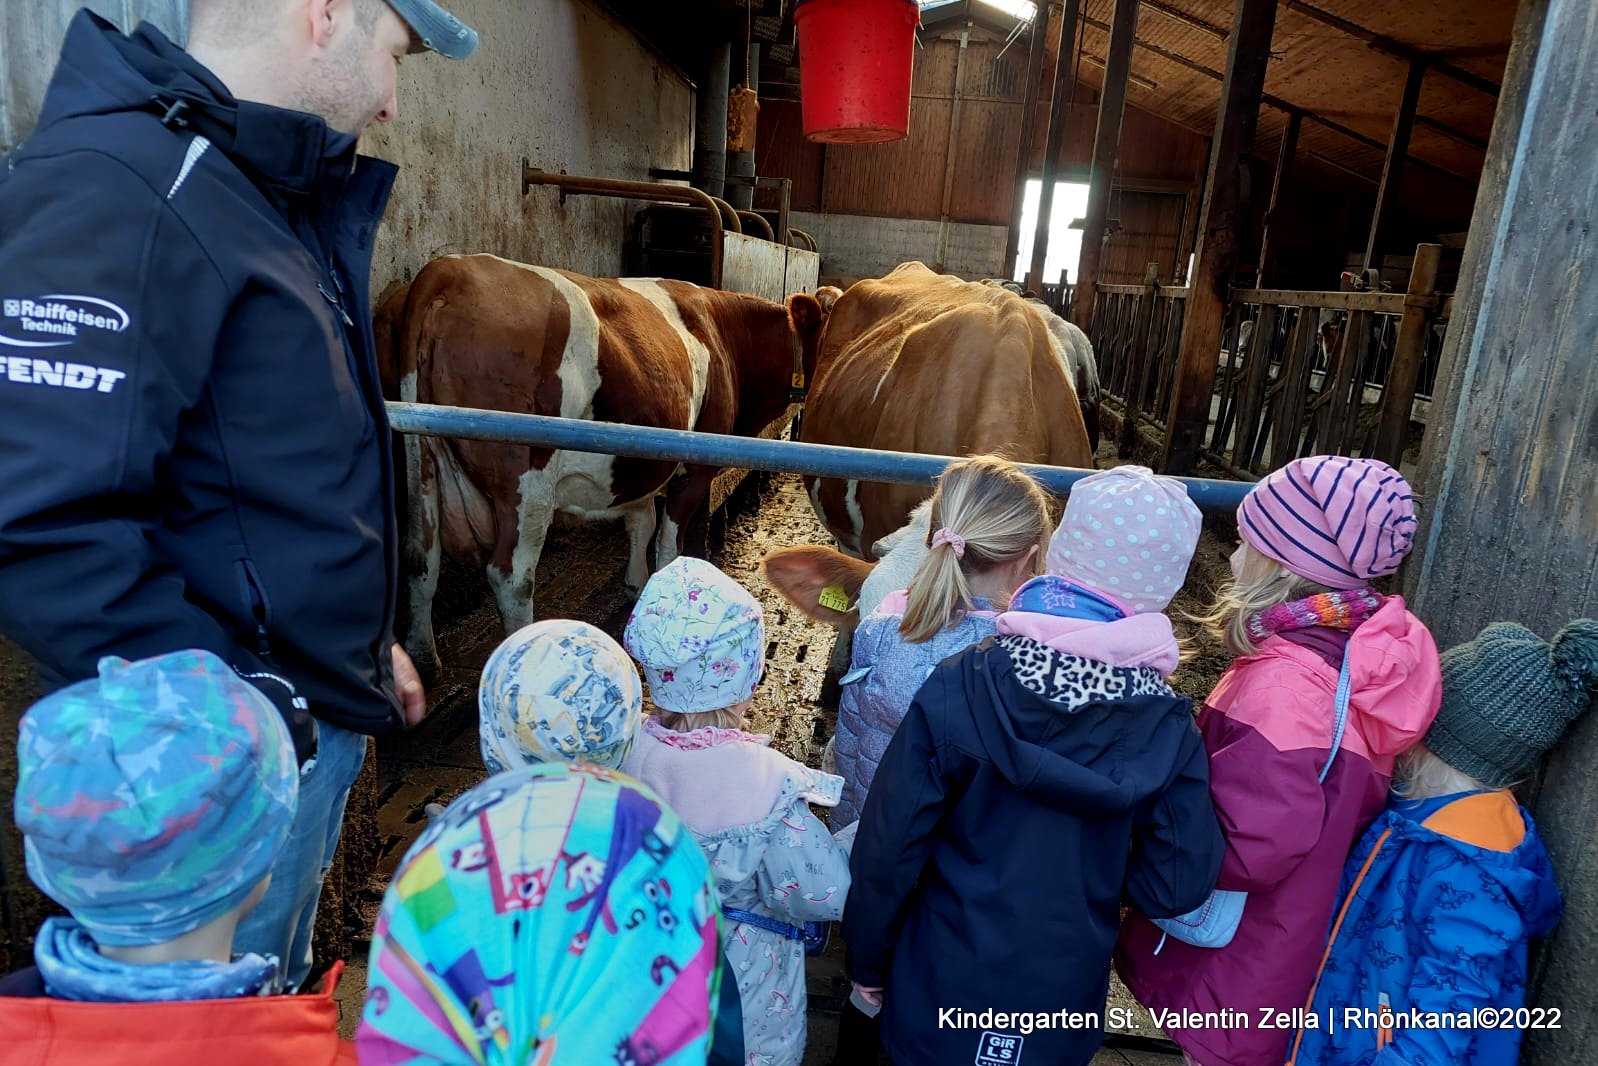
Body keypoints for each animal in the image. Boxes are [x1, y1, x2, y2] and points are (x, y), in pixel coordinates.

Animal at [389, 252, 824, 674]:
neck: (723, 336)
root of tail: (451, 267)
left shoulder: (642, 464)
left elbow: (641, 523)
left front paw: (637, 585)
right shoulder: (694, 471)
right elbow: (668, 542)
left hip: (420, 463)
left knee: (420, 556)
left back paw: (424, 658)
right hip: (526, 481)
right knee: (512, 577)